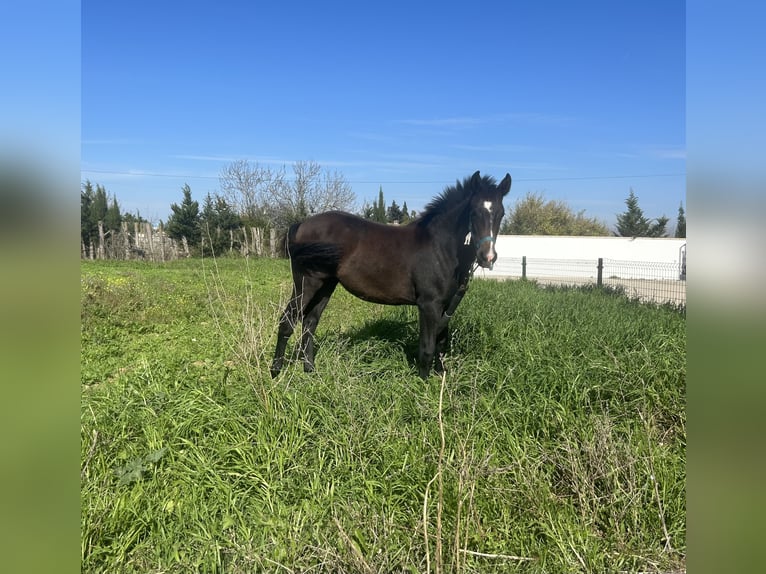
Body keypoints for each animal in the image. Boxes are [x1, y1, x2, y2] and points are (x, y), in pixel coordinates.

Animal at [270, 170, 510, 382]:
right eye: (474, 212)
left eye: (501, 213)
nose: (487, 257)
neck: (439, 246)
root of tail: (300, 225)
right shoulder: (428, 305)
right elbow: (427, 348)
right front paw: (424, 386)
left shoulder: (446, 305)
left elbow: (441, 343)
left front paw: (440, 380)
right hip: (306, 283)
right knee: (287, 321)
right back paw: (275, 373)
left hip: (326, 285)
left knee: (309, 323)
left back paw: (310, 371)